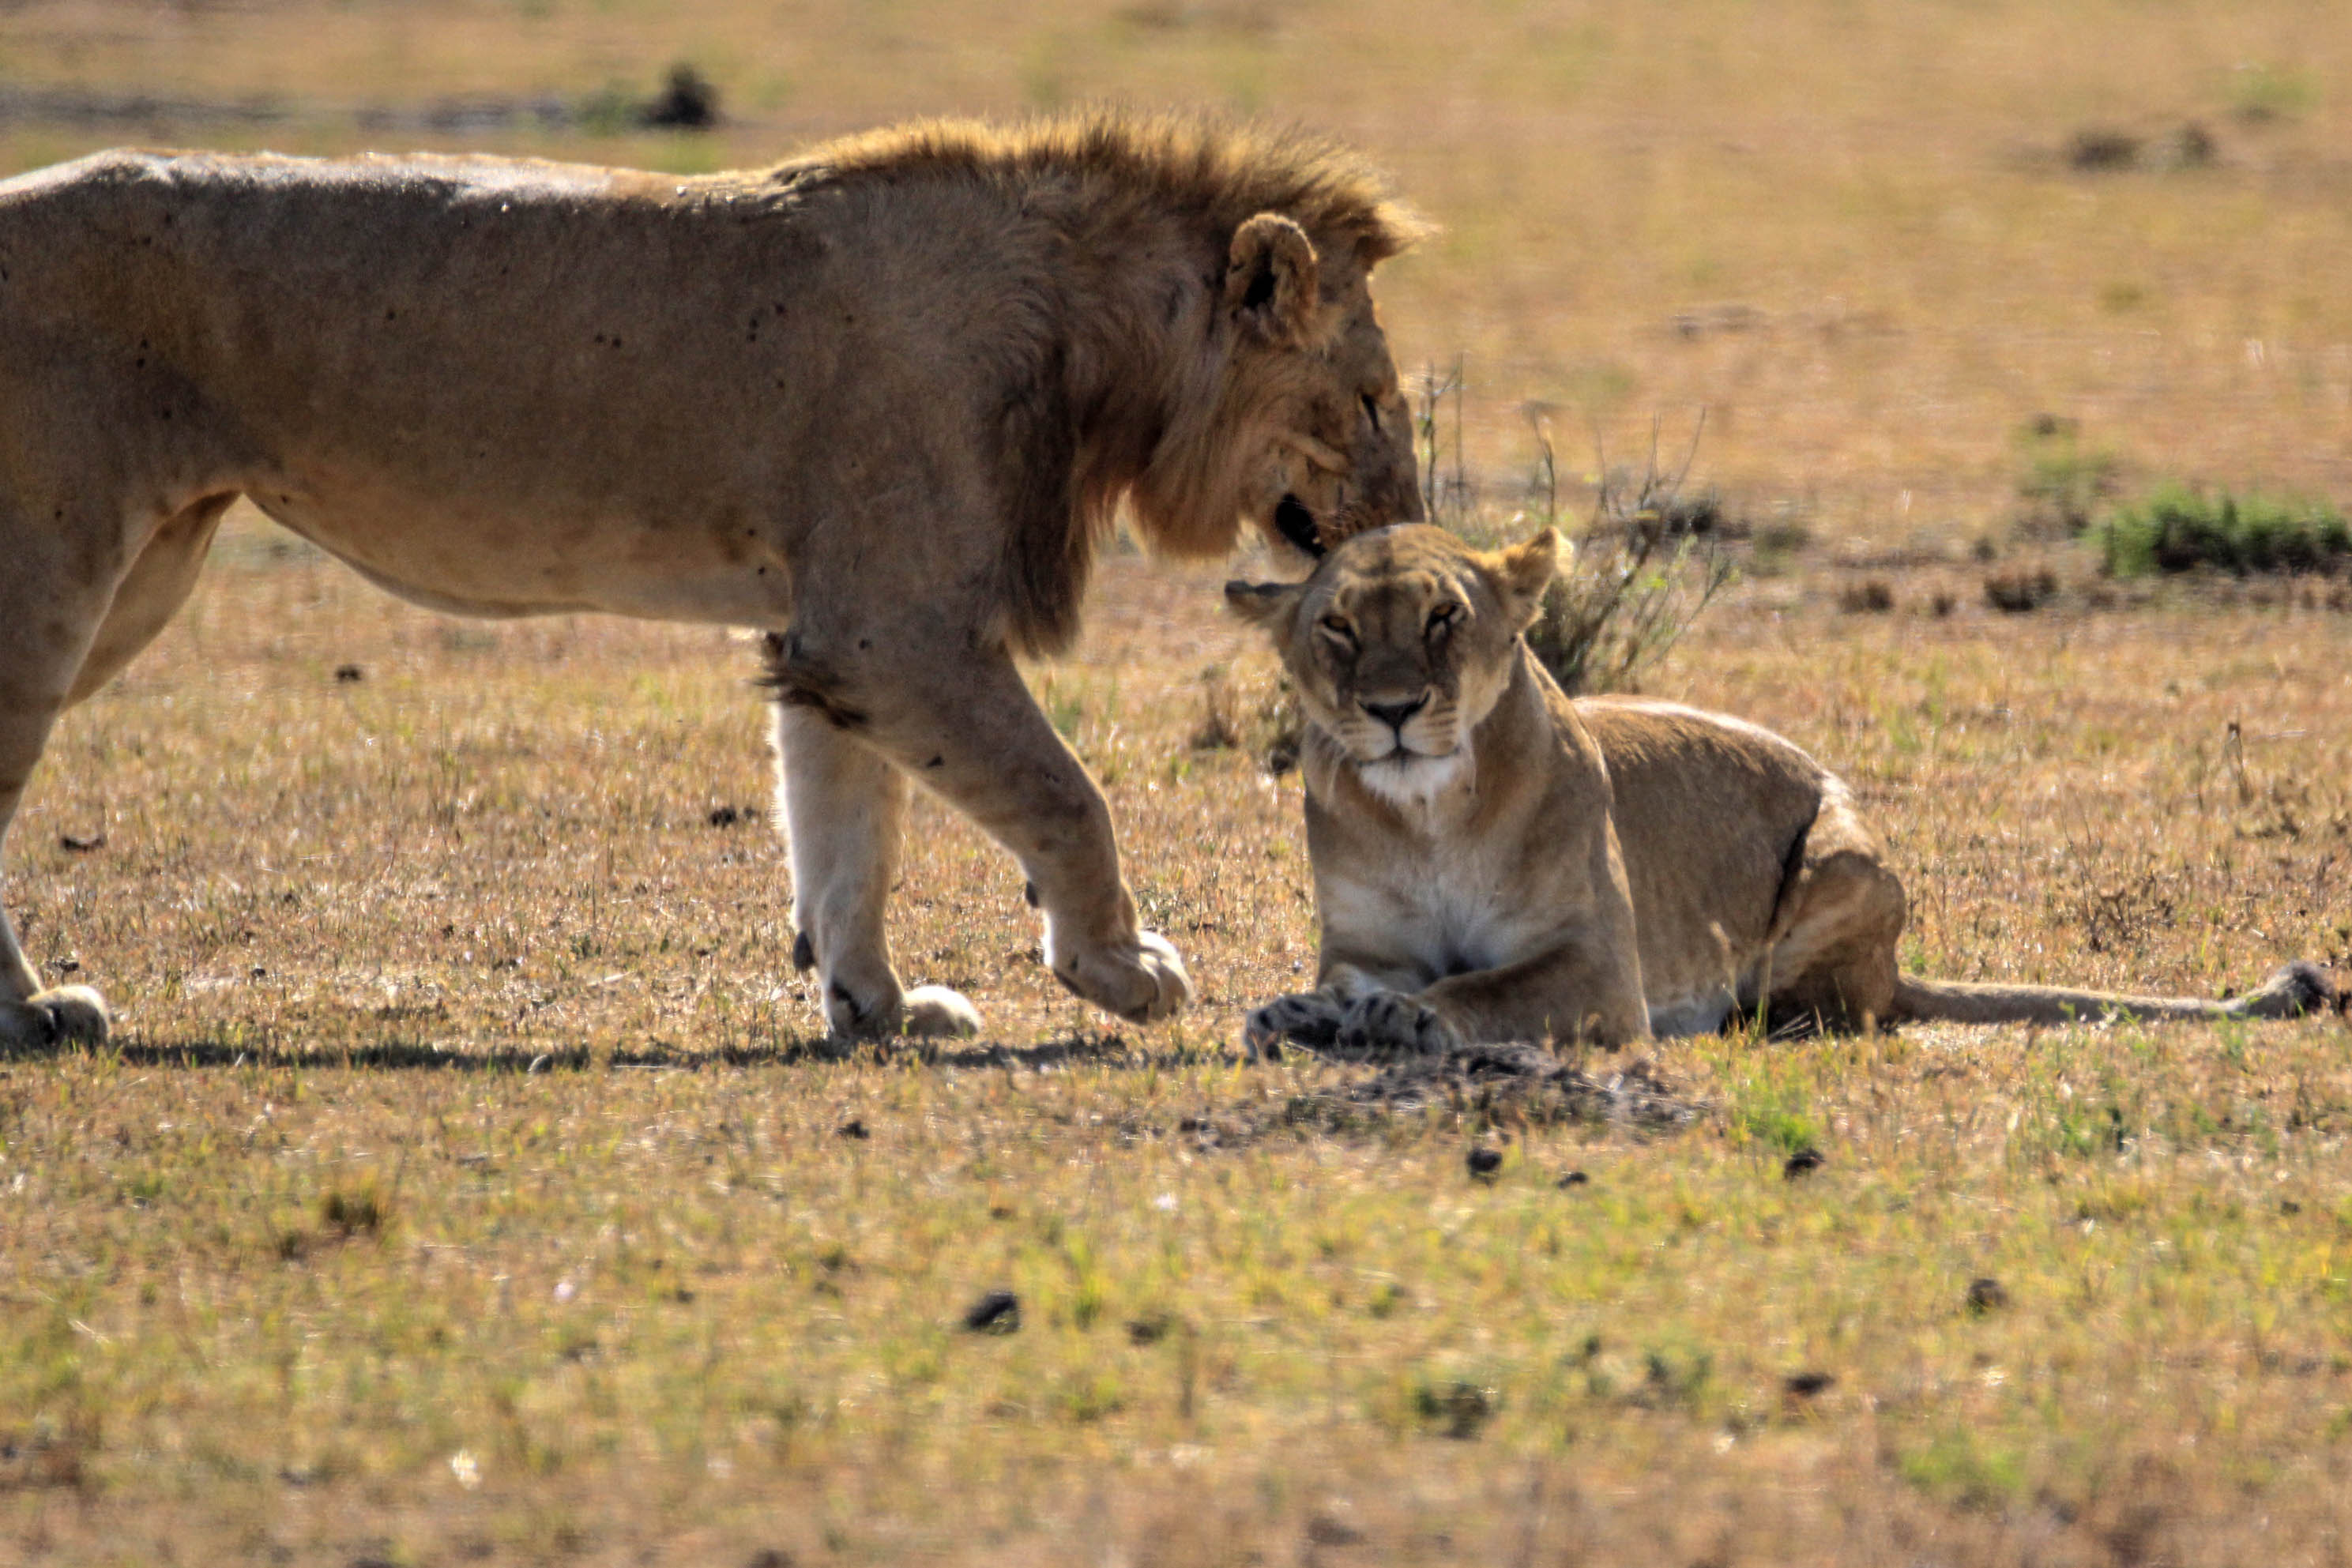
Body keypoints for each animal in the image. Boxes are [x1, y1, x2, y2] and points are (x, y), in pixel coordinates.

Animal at [0, 116, 1421, 1048]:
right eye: (1367, 401)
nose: (1407, 527)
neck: (1088, 350)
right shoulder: (896, 627)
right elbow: (1065, 797)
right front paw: (1121, 968)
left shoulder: (829, 633)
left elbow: (846, 832)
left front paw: (875, 1005)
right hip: (57, 574)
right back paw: (41, 1011)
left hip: (149, 571)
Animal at [1232, 524, 2333, 1053]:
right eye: (1337, 626)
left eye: (1442, 618)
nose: (1391, 709)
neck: (1428, 816)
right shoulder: (1365, 943)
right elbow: (1344, 982)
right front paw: (1296, 1014)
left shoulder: (1599, 968)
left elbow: (1485, 987)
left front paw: (1408, 1019)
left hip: (1843, 858)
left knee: (1837, 1006)